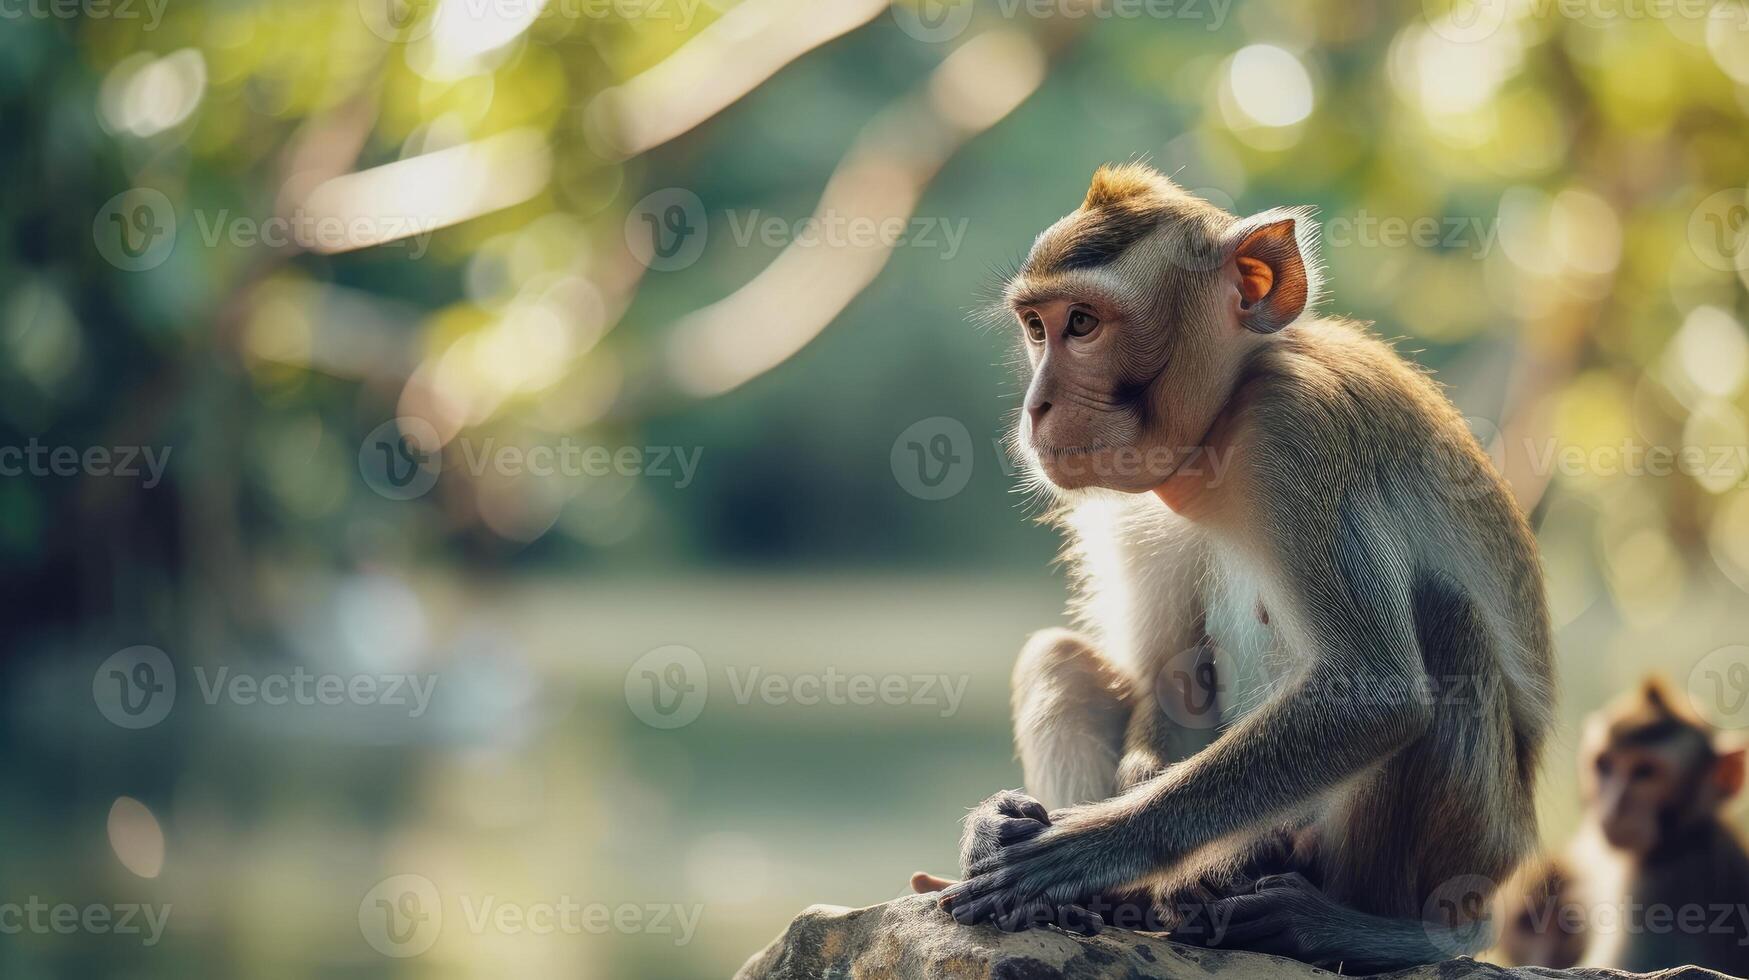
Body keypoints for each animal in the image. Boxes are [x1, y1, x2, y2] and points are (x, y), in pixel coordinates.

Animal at [909, 164, 1553, 966]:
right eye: (1036, 327)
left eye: (1082, 324)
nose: (1037, 408)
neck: (1216, 439)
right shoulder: (1135, 504)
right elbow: (1165, 672)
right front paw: (1021, 822)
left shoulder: (1298, 432)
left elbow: (1371, 692)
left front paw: (1090, 847)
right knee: (1055, 658)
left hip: (1479, 845)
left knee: (1444, 623)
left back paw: (1372, 928)